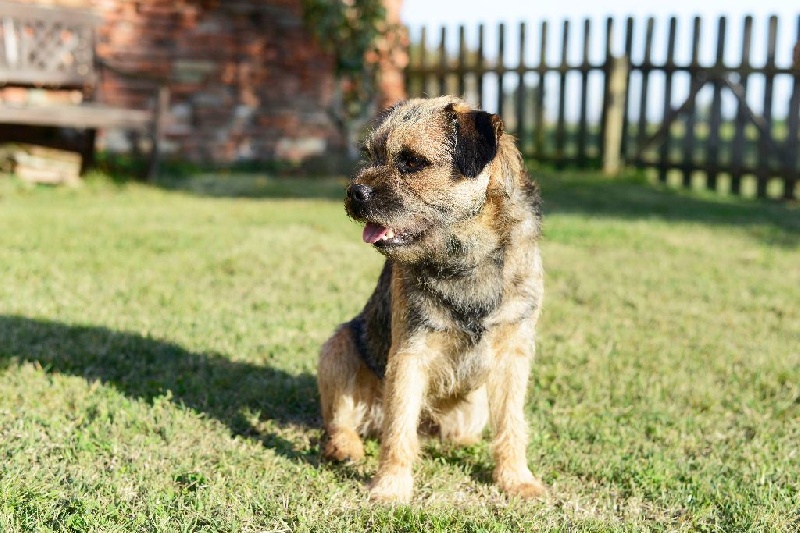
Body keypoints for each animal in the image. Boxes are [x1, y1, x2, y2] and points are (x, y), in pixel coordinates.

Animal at [318, 96, 544, 502]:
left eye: (412, 162)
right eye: (371, 154)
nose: (354, 192)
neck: (468, 258)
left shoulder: (512, 356)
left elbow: (512, 425)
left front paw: (517, 480)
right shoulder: (411, 353)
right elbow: (398, 430)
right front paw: (391, 488)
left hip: (475, 403)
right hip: (336, 348)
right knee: (343, 422)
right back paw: (346, 448)